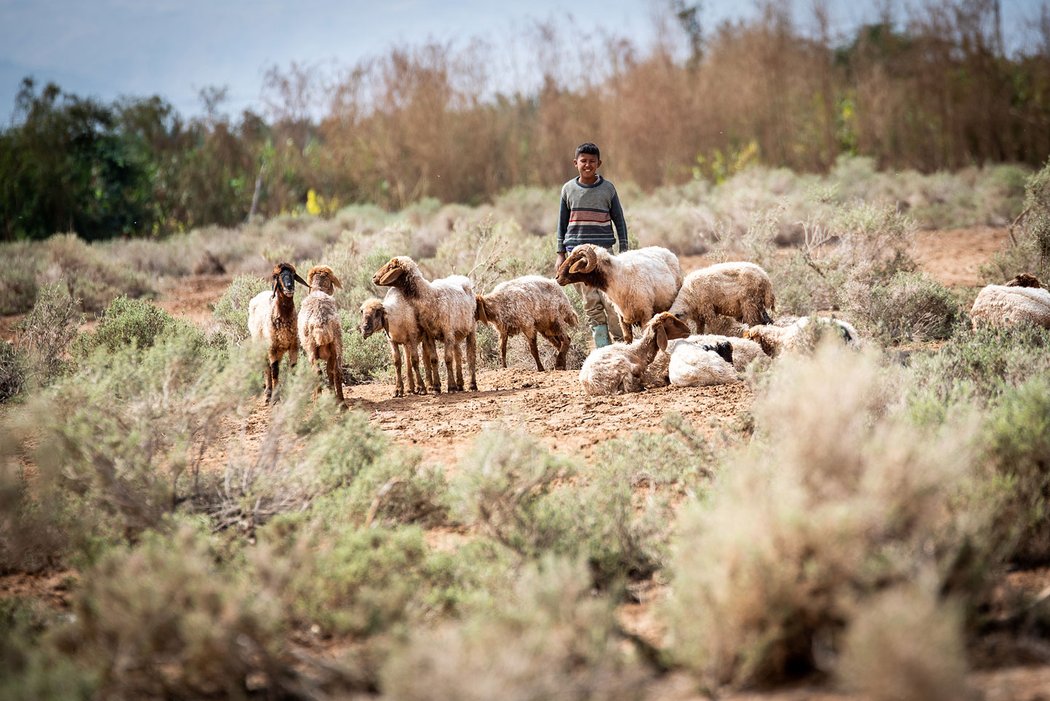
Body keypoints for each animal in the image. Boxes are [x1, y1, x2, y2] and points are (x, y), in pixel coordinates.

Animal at [246, 261, 306, 405]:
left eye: (293, 274)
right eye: (277, 276)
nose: (289, 287)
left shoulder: (293, 345)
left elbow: (293, 368)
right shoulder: (272, 347)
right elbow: (275, 371)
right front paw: (275, 398)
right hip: (262, 345)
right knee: (267, 367)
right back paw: (268, 394)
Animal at [373, 255, 480, 392]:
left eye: (391, 266)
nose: (374, 277)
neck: (430, 295)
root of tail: (462, 278)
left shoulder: (447, 332)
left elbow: (448, 359)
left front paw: (451, 386)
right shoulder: (429, 334)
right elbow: (434, 359)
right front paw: (436, 386)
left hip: (471, 328)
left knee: (471, 355)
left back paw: (472, 384)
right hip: (455, 334)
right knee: (458, 355)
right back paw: (460, 384)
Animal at [554, 243, 684, 344]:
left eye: (574, 260)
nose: (557, 277)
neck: (616, 277)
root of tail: (666, 250)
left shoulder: (645, 313)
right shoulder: (621, 316)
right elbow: (627, 338)